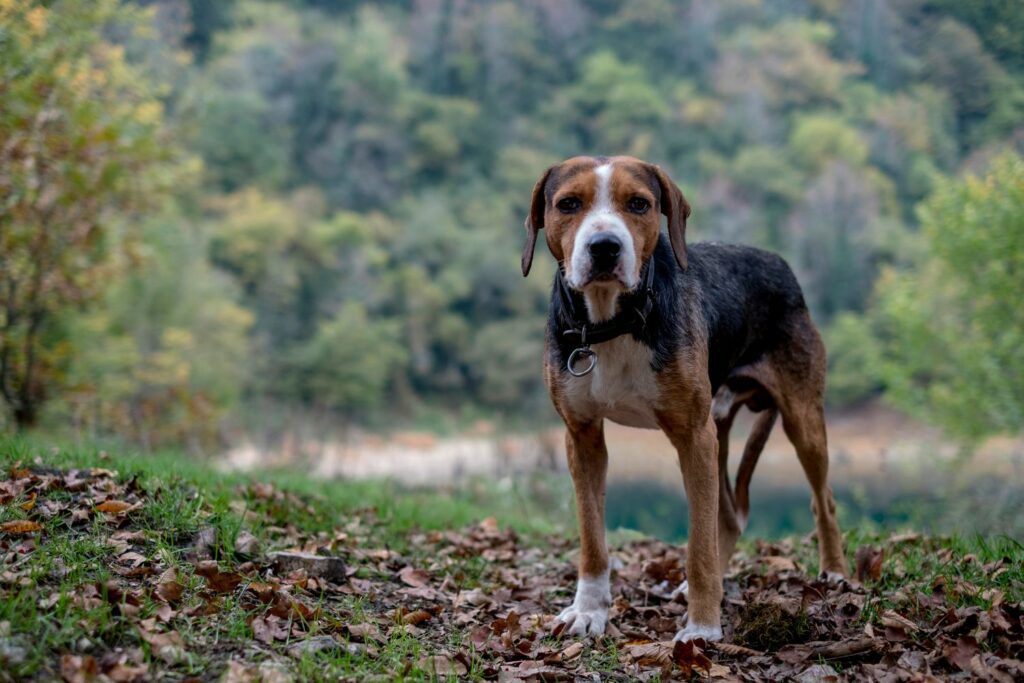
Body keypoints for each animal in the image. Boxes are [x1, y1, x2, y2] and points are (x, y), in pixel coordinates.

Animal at [520, 154, 847, 643]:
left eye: (639, 203)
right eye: (568, 204)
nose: (604, 247)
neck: (615, 322)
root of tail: (780, 264)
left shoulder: (693, 436)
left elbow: (699, 546)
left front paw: (702, 628)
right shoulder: (582, 436)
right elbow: (593, 539)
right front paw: (589, 610)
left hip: (799, 417)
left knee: (821, 500)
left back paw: (836, 573)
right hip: (720, 427)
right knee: (729, 516)